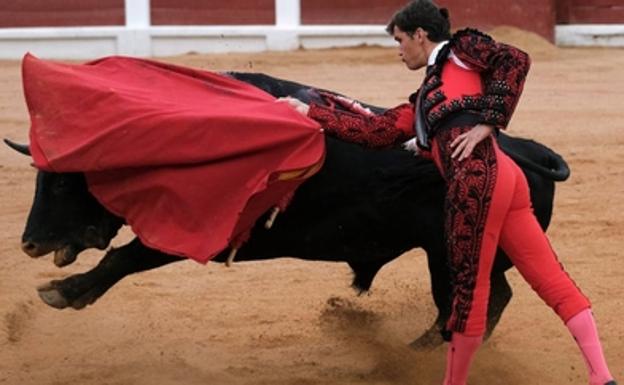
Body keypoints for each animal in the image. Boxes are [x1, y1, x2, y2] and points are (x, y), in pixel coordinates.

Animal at [4, 72, 572, 348]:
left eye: (63, 181)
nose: (29, 243)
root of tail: (530, 150)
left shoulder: (201, 229)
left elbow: (125, 256)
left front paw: (63, 292)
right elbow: (126, 255)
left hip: (455, 253)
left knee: (479, 299)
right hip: (453, 256)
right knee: (485, 299)